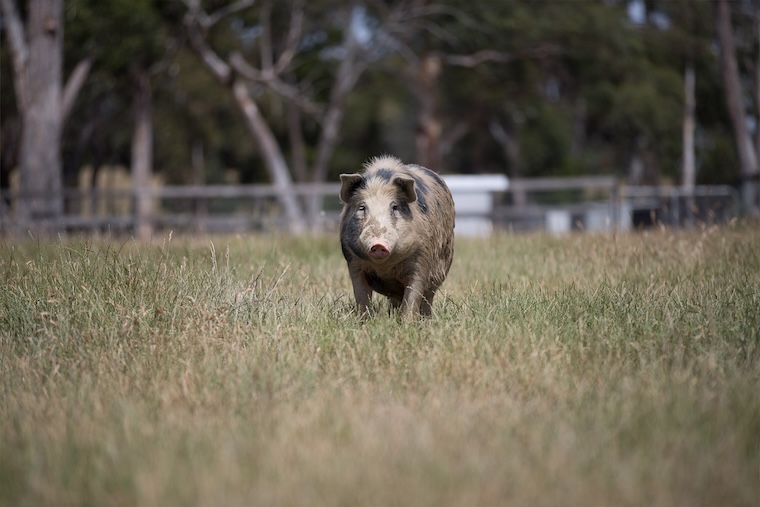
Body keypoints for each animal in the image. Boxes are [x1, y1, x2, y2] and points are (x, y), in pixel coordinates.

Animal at [339, 155, 455, 317]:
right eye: (362, 207)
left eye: (395, 207)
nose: (378, 244)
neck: (385, 267)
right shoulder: (353, 262)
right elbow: (361, 296)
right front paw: (363, 320)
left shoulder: (422, 256)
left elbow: (413, 296)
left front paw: (407, 321)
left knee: (428, 297)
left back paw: (426, 318)